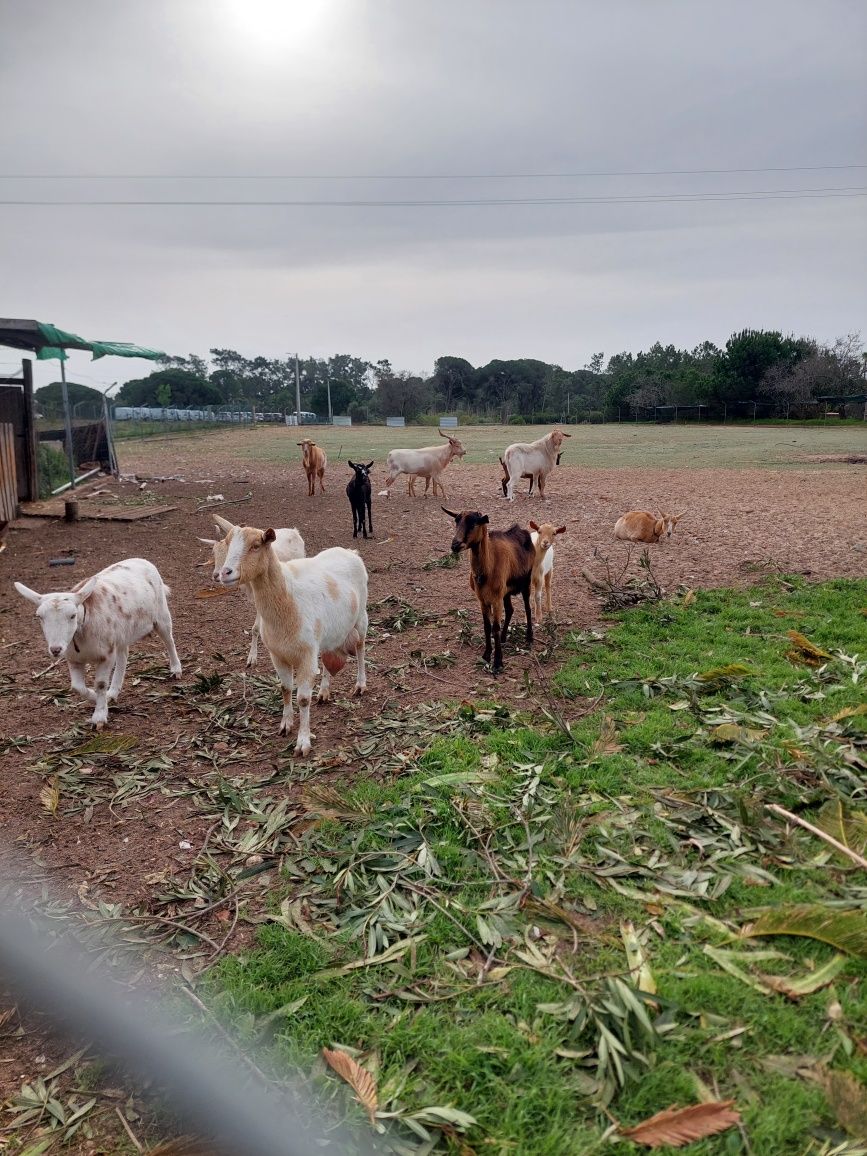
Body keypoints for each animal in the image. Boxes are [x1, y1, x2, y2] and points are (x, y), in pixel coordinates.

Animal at [14, 554, 181, 725]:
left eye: (73, 615)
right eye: (39, 617)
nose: (56, 649)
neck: (80, 634)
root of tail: (140, 559)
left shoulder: (106, 655)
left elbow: (100, 684)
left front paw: (99, 717)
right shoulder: (74, 658)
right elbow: (76, 687)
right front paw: (97, 699)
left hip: (161, 613)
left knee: (169, 640)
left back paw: (176, 669)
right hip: (121, 633)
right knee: (123, 655)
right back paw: (113, 692)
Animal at [217, 517, 369, 758]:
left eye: (256, 546)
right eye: (228, 543)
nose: (225, 573)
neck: (287, 599)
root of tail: (349, 552)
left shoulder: (306, 655)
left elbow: (303, 699)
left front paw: (303, 742)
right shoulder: (277, 654)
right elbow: (285, 689)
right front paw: (285, 725)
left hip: (361, 616)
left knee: (362, 648)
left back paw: (360, 685)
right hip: (328, 633)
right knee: (328, 655)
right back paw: (324, 691)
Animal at [448, 504, 536, 675]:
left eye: (473, 524)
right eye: (456, 521)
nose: (455, 545)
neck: (488, 567)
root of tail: (522, 531)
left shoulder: (495, 600)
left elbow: (495, 627)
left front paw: (497, 662)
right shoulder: (483, 599)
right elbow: (487, 627)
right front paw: (487, 654)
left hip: (526, 582)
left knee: (528, 608)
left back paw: (529, 637)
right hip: (505, 591)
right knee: (510, 609)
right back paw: (503, 638)